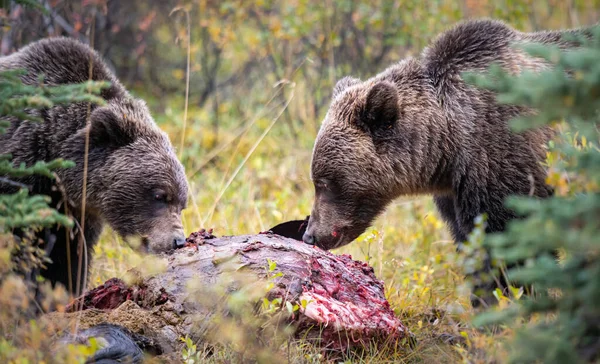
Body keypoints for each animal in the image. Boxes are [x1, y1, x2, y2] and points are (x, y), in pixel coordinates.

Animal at [0, 37, 188, 296]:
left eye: (182, 204)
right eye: (160, 195)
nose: (178, 241)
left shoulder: (77, 214)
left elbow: (69, 259)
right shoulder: (19, 181)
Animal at [302, 18, 592, 306]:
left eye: (325, 182)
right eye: (317, 180)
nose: (310, 235)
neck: (447, 147)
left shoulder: (504, 160)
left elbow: (511, 239)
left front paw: (513, 295)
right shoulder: (456, 190)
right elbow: (471, 241)